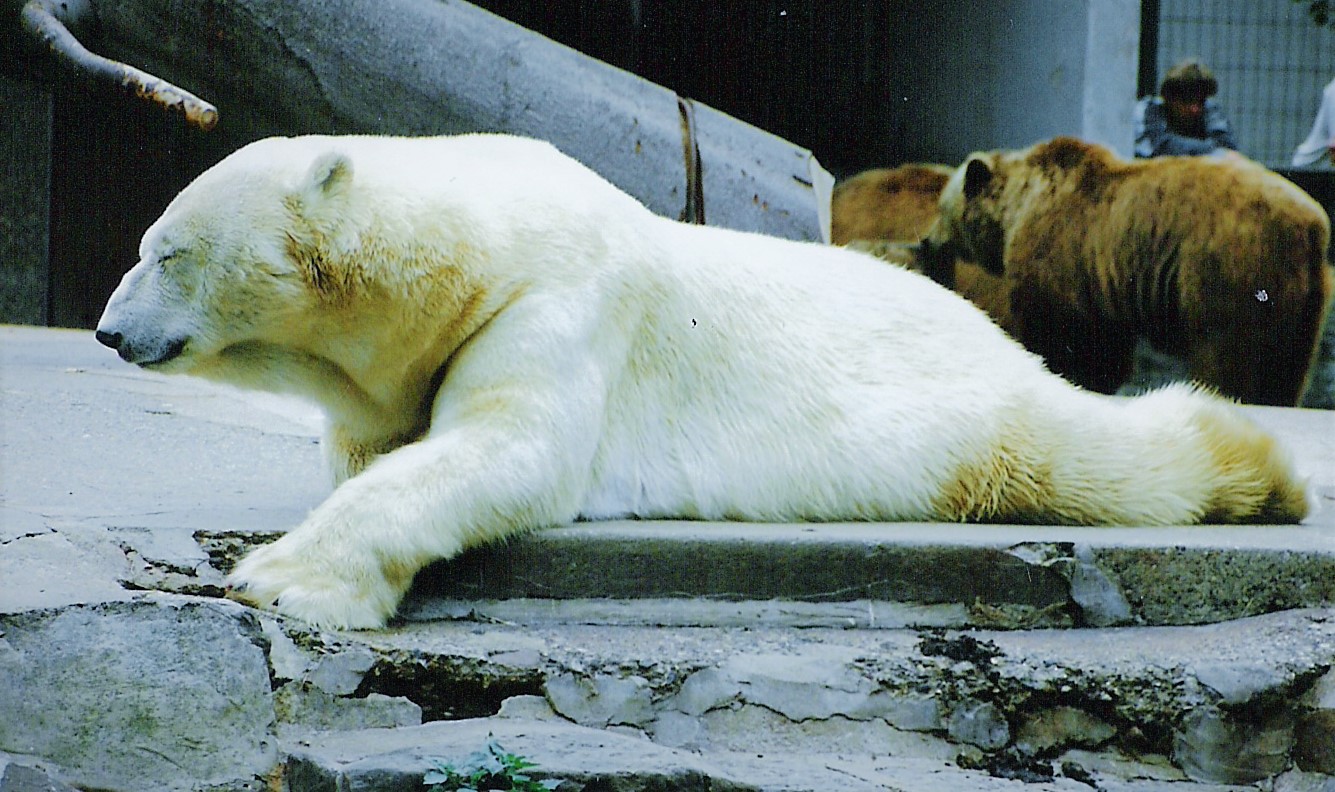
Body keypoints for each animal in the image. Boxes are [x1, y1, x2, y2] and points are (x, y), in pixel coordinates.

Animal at [918, 136, 1335, 403]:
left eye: (941, 207)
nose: (926, 241)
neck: (1017, 209)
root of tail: (1312, 224)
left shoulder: (1057, 252)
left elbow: (1055, 327)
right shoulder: (1101, 281)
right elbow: (1105, 342)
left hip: (1230, 270)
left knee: (1228, 353)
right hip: (1306, 299)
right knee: (1286, 366)